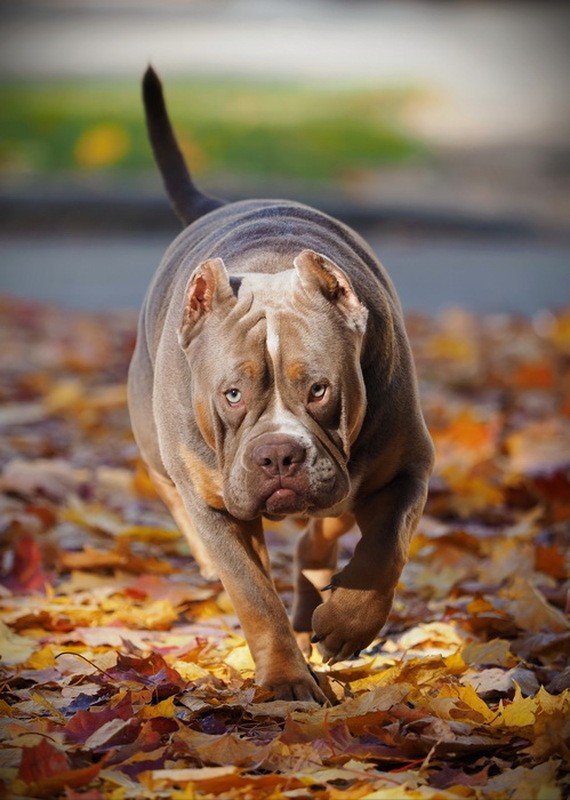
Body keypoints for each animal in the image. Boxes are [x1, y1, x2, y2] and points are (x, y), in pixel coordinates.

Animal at [127, 70, 430, 708]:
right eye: (231, 395)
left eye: (318, 389)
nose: (278, 455)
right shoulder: (218, 505)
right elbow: (253, 595)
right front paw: (287, 681)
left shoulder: (407, 467)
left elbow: (387, 547)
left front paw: (345, 624)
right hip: (156, 441)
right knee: (175, 494)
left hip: (352, 479)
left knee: (329, 528)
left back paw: (316, 605)